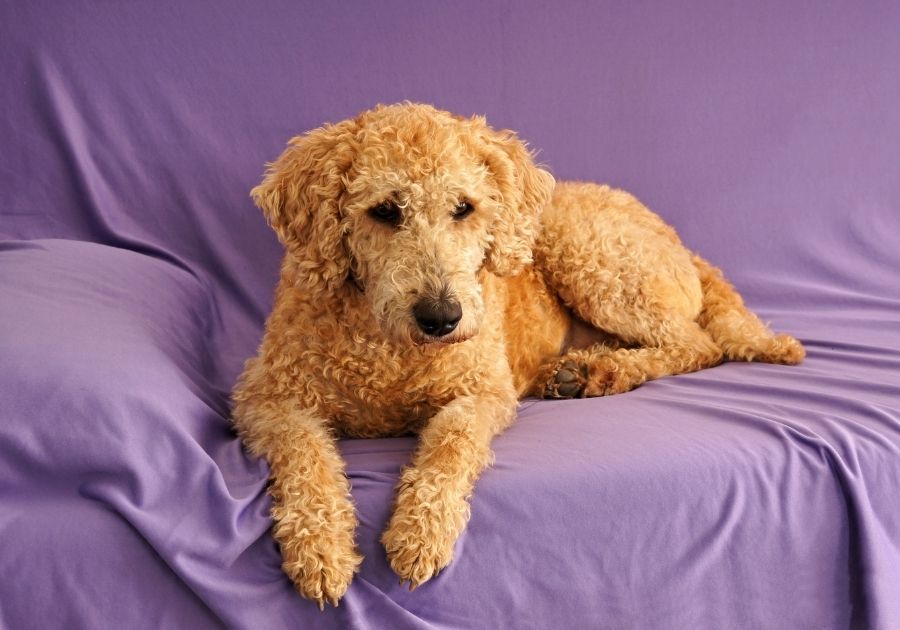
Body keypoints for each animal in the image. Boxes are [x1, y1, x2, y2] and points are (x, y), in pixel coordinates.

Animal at [229, 101, 804, 608]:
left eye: (464, 207)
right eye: (384, 211)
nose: (442, 317)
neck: (391, 349)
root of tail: (680, 241)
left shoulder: (483, 391)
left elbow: (452, 443)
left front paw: (422, 531)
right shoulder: (266, 397)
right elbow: (305, 452)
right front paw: (320, 549)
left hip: (591, 256)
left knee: (695, 344)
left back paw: (599, 370)